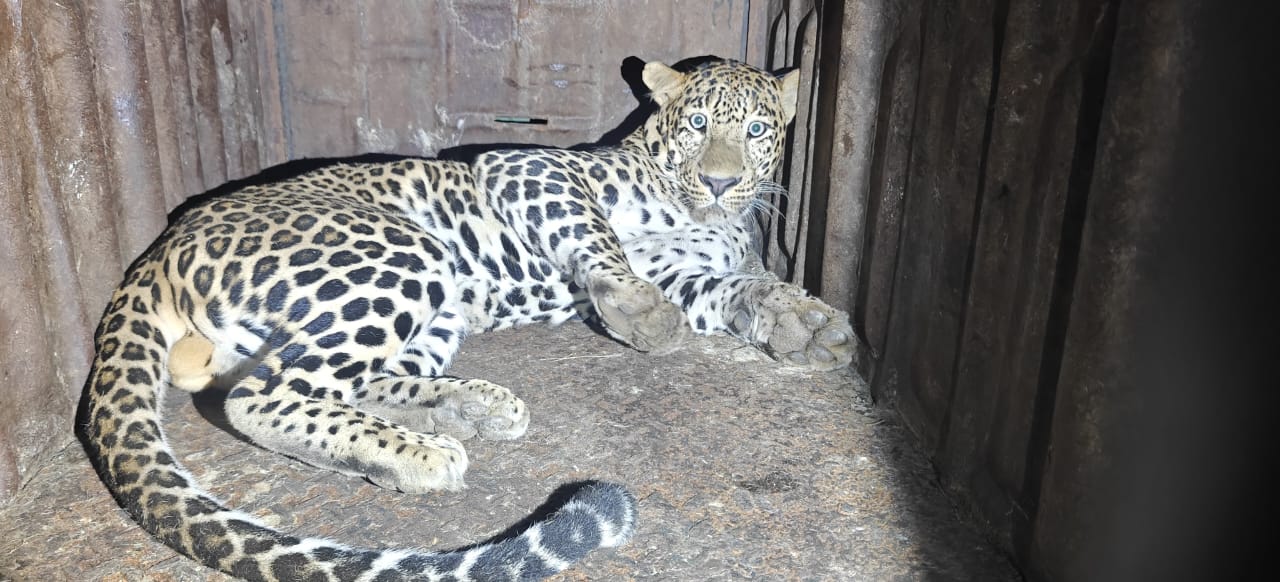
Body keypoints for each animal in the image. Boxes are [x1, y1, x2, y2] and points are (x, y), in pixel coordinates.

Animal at [79, 57, 855, 582]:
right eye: (696, 125)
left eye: (757, 129)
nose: (722, 181)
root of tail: (163, 246)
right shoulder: (529, 170)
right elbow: (597, 233)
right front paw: (641, 314)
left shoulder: (687, 273)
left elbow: (739, 289)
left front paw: (805, 325)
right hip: (401, 253)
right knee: (262, 396)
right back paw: (420, 453)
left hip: (433, 307)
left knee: (344, 380)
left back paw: (464, 412)